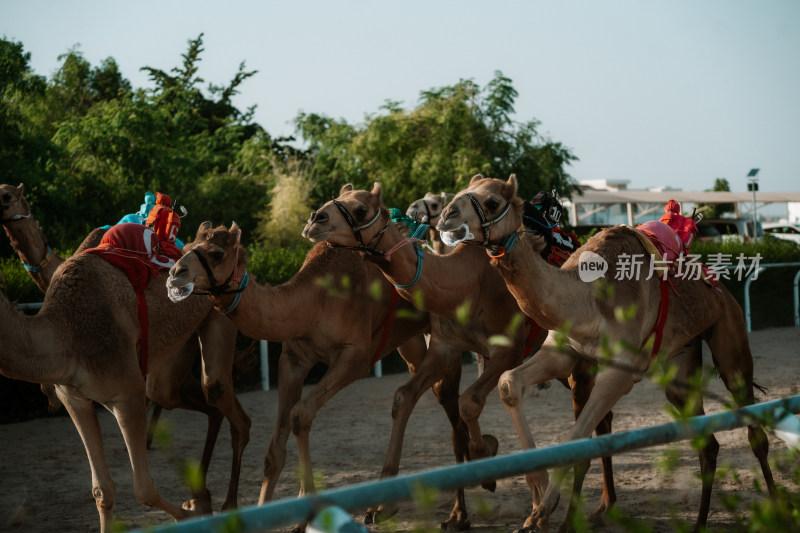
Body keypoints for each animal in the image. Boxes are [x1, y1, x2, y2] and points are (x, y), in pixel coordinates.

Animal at [0, 217, 250, 532]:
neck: (63, 331)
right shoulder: (73, 399)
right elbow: (102, 490)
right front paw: (195, 509)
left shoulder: (127, 394)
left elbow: (144, 489)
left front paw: (190, 516)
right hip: (171, 357)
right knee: (192, 401)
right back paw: (200, 497)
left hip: (223, 308)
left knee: (229, 404)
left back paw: (230, 506)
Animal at [167, 221, 450, 524]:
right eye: (184, 248)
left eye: (217, 253)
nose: (174, 274)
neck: (314, 302)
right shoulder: (293, 360)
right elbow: (273, 452)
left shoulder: (356, 356)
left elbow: (300, 414)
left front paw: (306, 510)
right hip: (410, 338)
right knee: (429, 390)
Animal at [434, 175, 780, 532]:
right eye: (458, 193)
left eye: (492, 202)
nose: (446, 217)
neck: (587, 299)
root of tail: (720, 287)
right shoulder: (564, 352)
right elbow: (507, 383)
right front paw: (536, 503)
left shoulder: (620, 371)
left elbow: (578, 437)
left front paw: (543, 511)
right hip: (680, 360)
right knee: (706, 441)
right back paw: (698, 524)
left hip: (730, 335)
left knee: (753, 424)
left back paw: (777, 509)